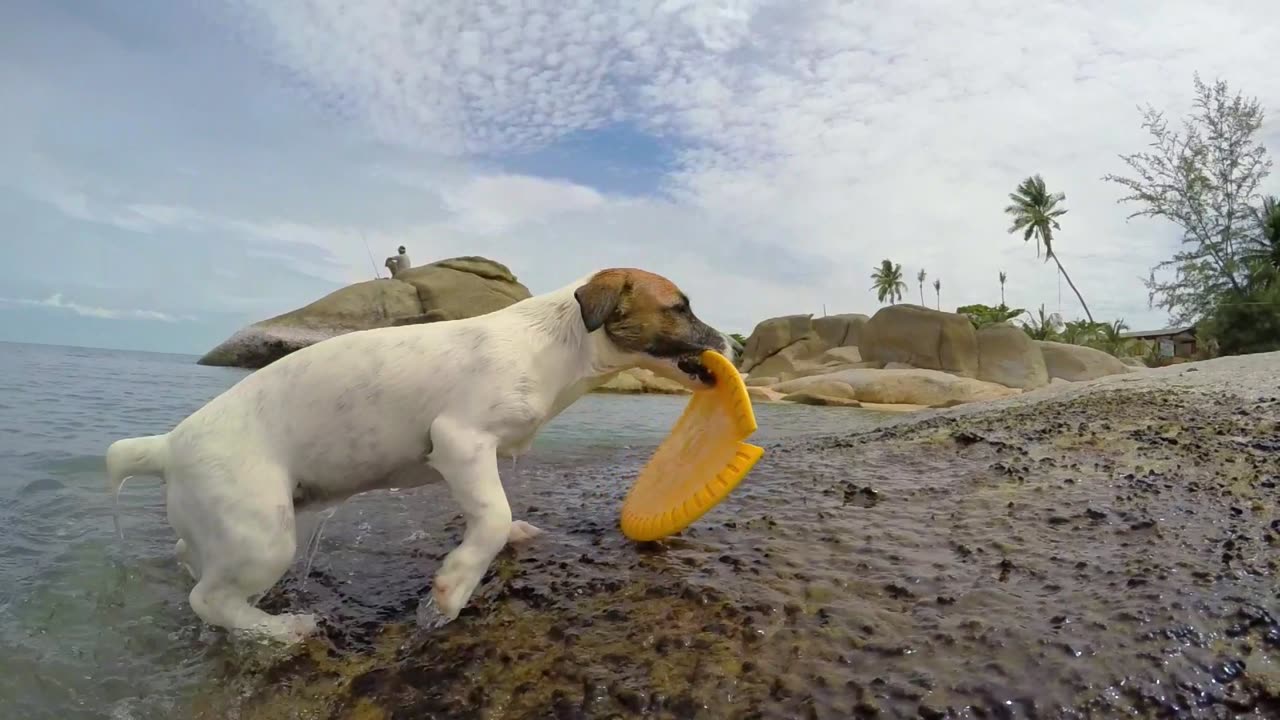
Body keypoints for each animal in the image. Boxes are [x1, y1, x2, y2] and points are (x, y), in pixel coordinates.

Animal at [107, 267, 742, 638]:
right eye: (681, 307)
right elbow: (493, 514)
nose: (734, 346)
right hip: (263, 535)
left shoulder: (463, 458)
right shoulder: (461, 440)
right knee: (208, 600)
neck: (556, 344)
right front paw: (455, 586)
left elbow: (489, 514)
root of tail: (166, 446)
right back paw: (279, 631)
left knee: (192, 558)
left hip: (229, 528)